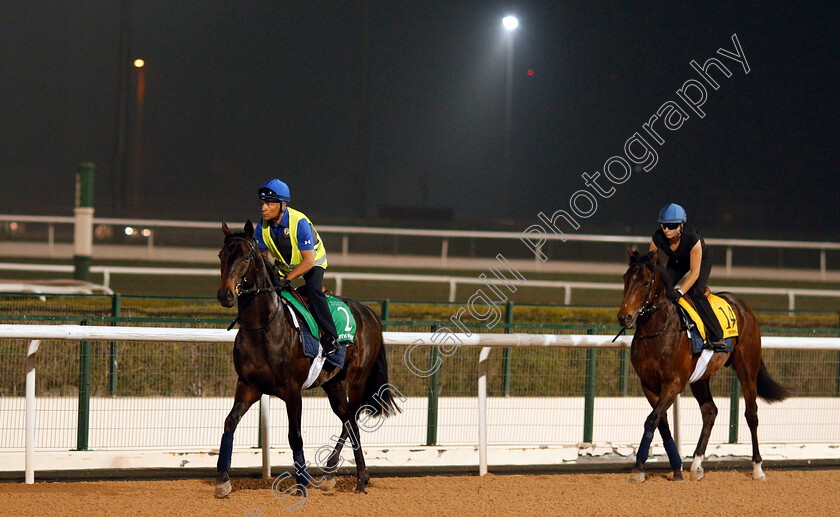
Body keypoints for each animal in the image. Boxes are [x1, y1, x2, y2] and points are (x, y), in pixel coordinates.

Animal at [215, 221, 402, 496]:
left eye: (246, 257)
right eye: (221, 256)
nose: (225, 295)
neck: (263, 328)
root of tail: (368, 312)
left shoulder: (292, 390)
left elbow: (295, 436)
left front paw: (301, 484)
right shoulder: (248, 386)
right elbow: (230, 422)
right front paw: (222, 480)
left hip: (358, 378)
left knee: (353, 418)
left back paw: (357, 478)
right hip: (332, 382)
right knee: (348, 418)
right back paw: (337, 474)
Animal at [616, 248, 788, 482]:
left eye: (644, 282)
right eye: (625, 279)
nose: (624, 317)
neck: (658, 332)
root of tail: (743, 306)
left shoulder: (674, 383)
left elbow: (652, 420)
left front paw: (639, 468)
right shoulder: (648, 384)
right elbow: (661, 422)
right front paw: (674, 467)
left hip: (747, 370)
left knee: (751, 414)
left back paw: (757, 468)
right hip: (700, 377)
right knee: (710, 411)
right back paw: (696, 465)